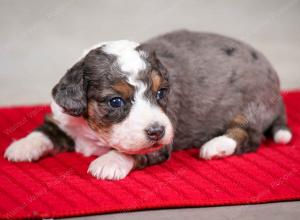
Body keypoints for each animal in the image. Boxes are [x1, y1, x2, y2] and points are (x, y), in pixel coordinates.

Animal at [4, 29, 292, 180]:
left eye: (162, 92)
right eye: (116, 101)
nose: (157, 131)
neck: (91, 130)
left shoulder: (163, 142)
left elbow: (133, 151)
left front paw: (108, 162)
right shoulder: (63, 118)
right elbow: (44, 131)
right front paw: (21, 146)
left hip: (253, 106)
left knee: (248, 136)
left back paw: (215, 146)